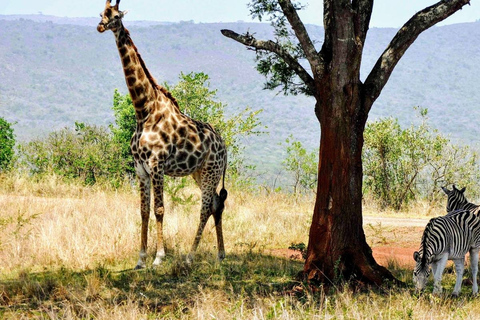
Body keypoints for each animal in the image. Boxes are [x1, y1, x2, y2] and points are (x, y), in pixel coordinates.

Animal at [96, 0, 228, 268]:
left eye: (115, 15)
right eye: (101, 13)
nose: (100, 26)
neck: (143, 112)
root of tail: (225, 146)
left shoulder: (157, 165)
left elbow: (159, 209)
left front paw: (158, 257)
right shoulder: (140, 168)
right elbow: (143, 211)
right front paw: (140, 259)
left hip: (211, 171)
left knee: (205, 208)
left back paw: (190, 256)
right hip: (199, 172)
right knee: (216, 205)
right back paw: (220, 255)